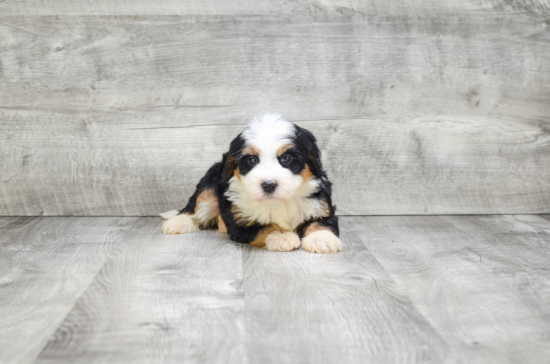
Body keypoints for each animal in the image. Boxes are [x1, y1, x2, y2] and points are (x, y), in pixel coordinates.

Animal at [160, 114, 342, 253]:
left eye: (286, 159)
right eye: (252, 160)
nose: (268, 184)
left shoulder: (320, 205)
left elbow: (321, 222)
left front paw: (322, 238)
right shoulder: (239, 221)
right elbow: (265, 226)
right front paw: (282, 236)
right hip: (210, 184)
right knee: (197, 206)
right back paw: (179, 222)